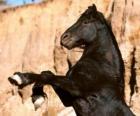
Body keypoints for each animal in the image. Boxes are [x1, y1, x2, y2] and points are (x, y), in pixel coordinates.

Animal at [7, 4, 135, 115]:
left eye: (85, 22)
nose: (64, 38)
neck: (102, 67)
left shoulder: (77, 88)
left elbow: (48, 76)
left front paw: (18, 78)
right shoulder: (69, 99)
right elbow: (47, 74)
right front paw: (37, 97)